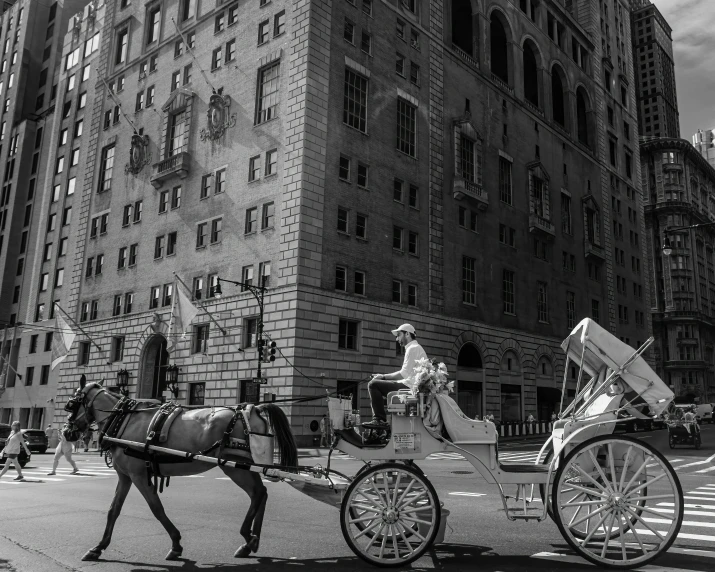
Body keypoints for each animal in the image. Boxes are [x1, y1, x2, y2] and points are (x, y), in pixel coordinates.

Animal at [63, 382, 296, 560]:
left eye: (72, 404)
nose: (66, 431)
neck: (123, 420)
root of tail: (253, 409)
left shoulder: (139, 475)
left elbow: (156, 509)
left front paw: (176, 544)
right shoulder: (125, 476)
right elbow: (113, 510)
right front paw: (98, 547)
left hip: (235, 467)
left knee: (257, 493)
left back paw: (248, 538)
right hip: (243, 466)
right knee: (261, 493)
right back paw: (252, 541)